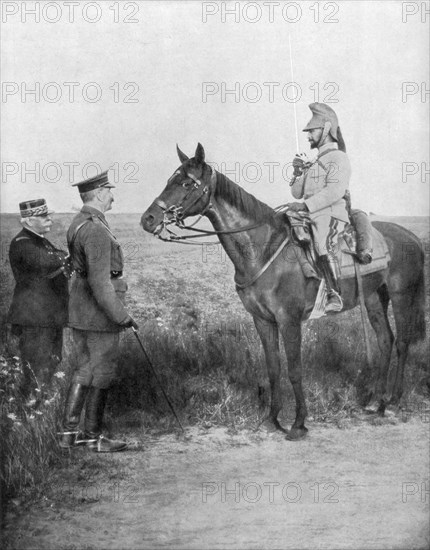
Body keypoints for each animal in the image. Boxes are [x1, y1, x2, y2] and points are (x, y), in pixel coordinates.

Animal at [141, 144, 426, 442]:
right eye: (169, 180)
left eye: (186, 183)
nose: (148, 219)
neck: (262, 249)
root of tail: (412, 238)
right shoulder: (263, 320)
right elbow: (274, 369)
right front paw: (272, 419)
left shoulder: (289, 320)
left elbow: (294, 370)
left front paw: (299, 423)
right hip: (374, 297)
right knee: (385, 339)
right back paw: (375, 401)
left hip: (401, 296)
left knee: (403, 342)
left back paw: (393, 401)